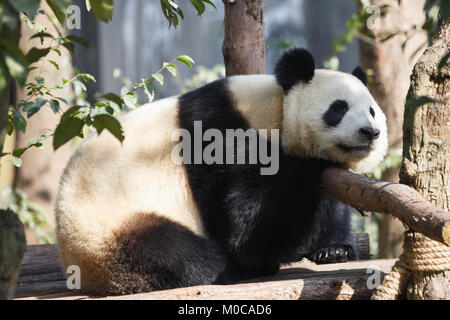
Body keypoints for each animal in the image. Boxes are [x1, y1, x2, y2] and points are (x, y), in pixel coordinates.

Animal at [55, 47, 386, 296]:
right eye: (339, 108)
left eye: (371, 110)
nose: (370, 132)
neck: (272, 107)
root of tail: (79, 267)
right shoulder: (220, 134)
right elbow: (246, 222)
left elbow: (325, 204)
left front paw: (334, 251)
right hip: (111, 225)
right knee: (173, 251)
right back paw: (235, 268)